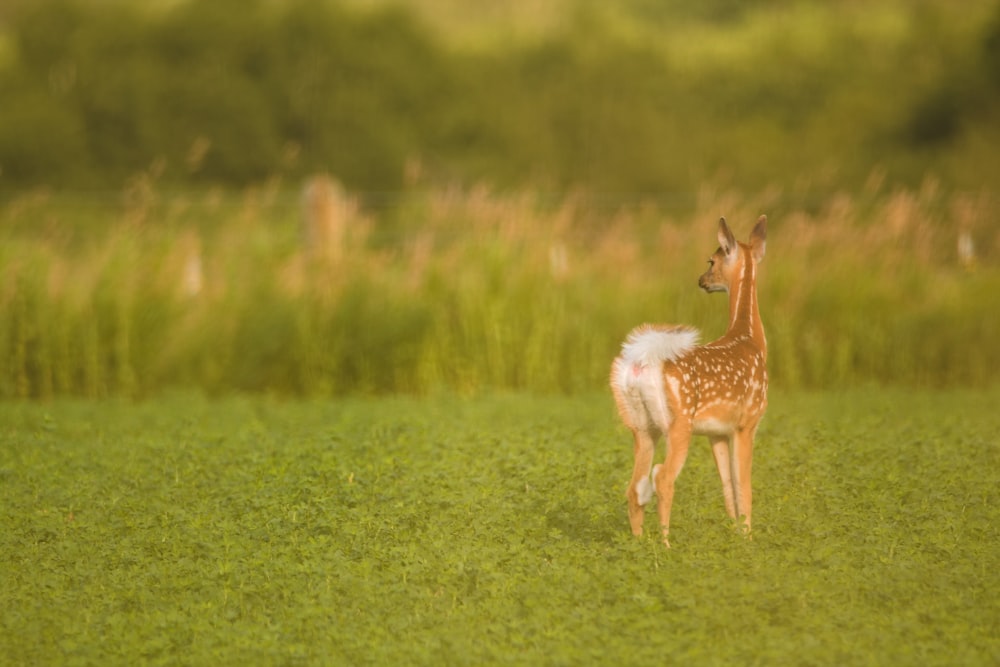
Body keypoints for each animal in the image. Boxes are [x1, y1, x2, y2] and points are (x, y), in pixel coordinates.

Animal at [604, 217, 768, 544]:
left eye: (711, 261)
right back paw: (666, 545)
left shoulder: (717, 432)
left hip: (641, 426)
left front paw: (734, 532)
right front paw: (747, 537)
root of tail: (639, 363)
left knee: (635, 485)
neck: (749, 338)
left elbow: (728, 486)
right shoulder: (747, 421)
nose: (701, 280)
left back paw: (638, 543)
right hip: (678, 421)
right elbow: (744, 485)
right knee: (662, 477)